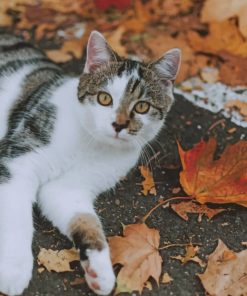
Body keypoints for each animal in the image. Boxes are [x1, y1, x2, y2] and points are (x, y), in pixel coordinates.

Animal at [0, 31, 180, 294]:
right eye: (104, 98)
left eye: (142, 106)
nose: (119, 124)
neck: (91, 144)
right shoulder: (18, 161)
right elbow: (16, 218)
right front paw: (14, 270)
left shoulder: (68, 190)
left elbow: (87, 222)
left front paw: (100, 272)